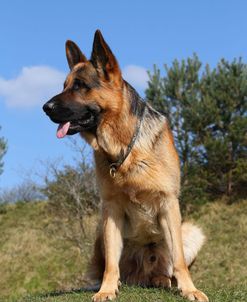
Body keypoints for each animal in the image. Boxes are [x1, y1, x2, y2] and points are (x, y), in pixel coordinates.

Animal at [43, 29, 208, 300]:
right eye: (64, 86)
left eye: (80, 86)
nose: (45, 108)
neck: (126, 148)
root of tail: (141, 277)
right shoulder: (111, 209)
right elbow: (111, 264)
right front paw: (107, 290)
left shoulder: (168, 203)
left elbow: (179, 259)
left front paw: (189, 289)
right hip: (101, 230)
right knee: (116, 267)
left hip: (190, 231)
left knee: (169, 266)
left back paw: (163, 280)